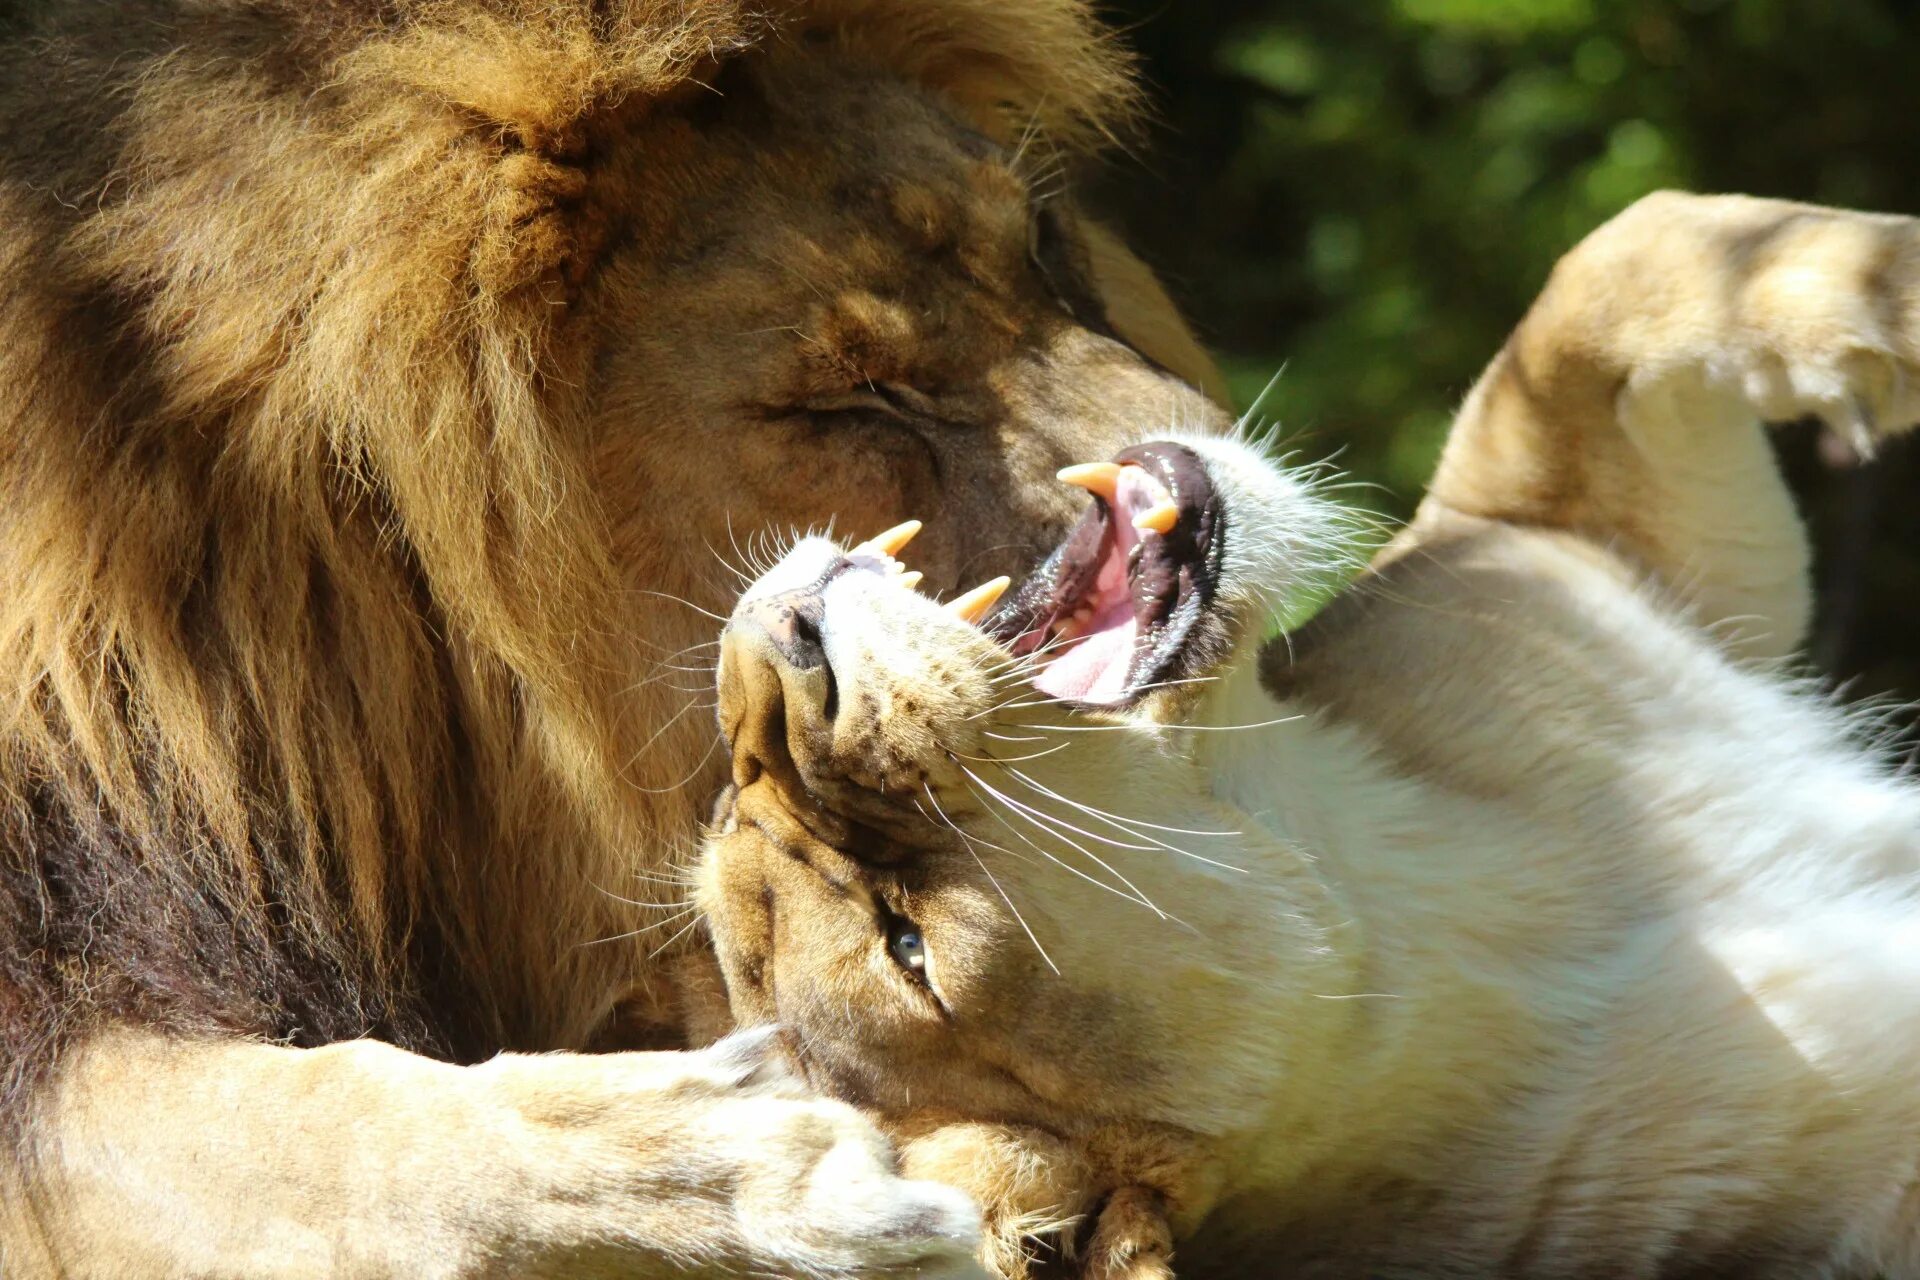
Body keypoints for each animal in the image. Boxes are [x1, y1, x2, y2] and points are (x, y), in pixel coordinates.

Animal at [710, 192, 1920, 1280]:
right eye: (907, 947)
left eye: (730, 797)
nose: (769, 664)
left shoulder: (1560, 549)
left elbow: (1618, 263)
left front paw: (1891, 293)